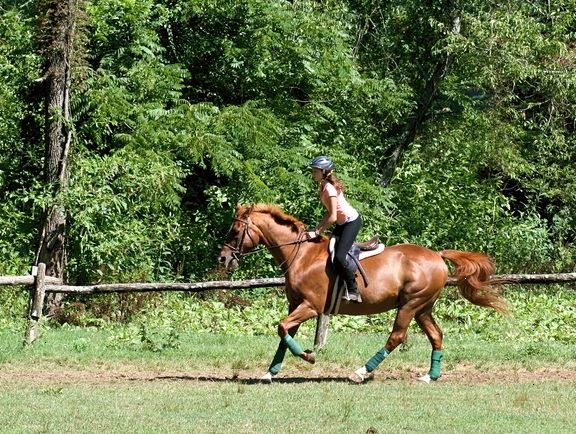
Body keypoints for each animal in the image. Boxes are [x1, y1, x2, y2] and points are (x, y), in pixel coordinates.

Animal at [217, 203, 508, 384]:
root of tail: (437, 255)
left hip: (411, 305)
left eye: (235, 230)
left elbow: (282, 328)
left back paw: (360, 372)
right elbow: (284, 334)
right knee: (436, 335)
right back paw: (430, 376)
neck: (300, 254)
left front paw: (309, 356)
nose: (222, 259)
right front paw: (270, 373)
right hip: (423, 307)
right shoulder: (295, 305)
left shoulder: (310, 306)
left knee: (396, 337)